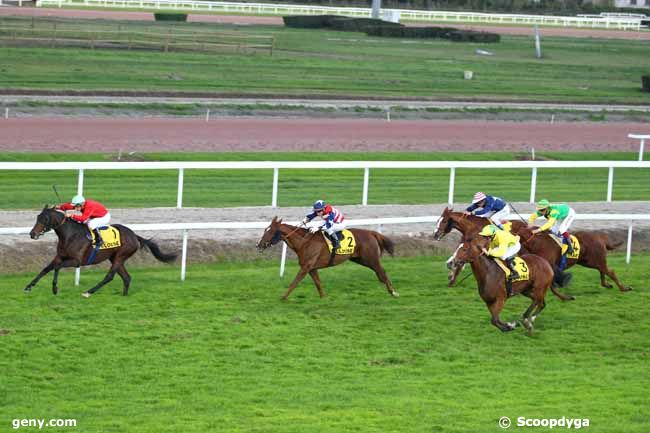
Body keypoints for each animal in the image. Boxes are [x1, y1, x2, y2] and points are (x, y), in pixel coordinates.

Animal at [26, 206, 177, 296]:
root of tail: (134, 235)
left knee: (109, 276)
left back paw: (89, 292)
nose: (32, 234)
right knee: (126, 277)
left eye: (45, 218)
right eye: (37, 217)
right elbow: (46, 268)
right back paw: (124, 295)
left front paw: (54, 288)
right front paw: (29, 286)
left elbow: (57, 267)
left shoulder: (77, 261)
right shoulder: (59, 256)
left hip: (120, 256)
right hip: (115, 258)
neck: (70, 235)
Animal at [256, 218, 398, 298]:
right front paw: (323, 298)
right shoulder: (311, 268)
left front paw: (283, 297)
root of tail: (371, 232)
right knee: (379, 272)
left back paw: (393, 292)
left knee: (382, 271)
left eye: (269, 231)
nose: (258, 245)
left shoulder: (306, 267)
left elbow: (294, 282)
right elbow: (318, 283)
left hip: (371, 258)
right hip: (361, 259)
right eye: (265, 230)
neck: (304, 241)